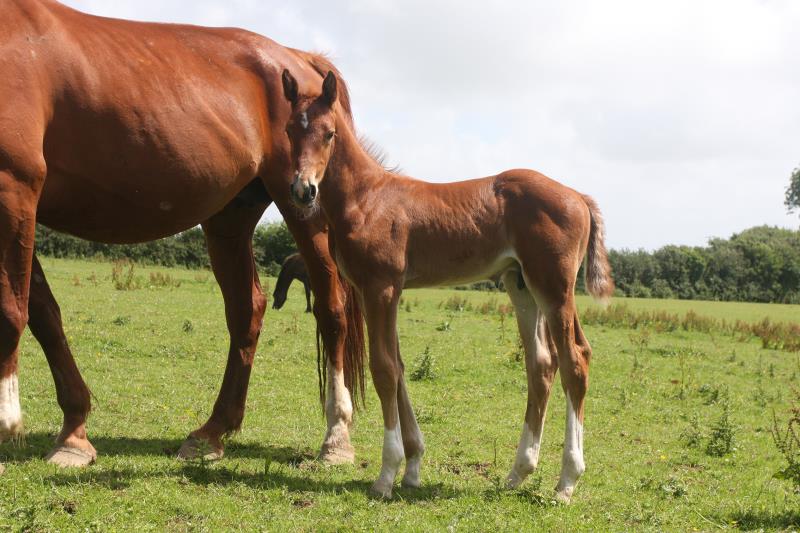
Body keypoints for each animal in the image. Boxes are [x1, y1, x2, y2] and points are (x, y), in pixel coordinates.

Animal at [0, 0, 366, 468]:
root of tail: (300, 58)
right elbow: (44, 315)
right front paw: (73, 434)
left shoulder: (14, 186)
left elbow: (13, 309)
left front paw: (8, 422)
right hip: (230, 219)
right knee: (247, 310)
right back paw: (211, 433)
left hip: (305, 209)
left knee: (331, 309)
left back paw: (335, 438)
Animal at [284, 71, 616, 502]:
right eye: (291, 130)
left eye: (329, 134)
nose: (303, 189)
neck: (367, 198)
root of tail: (578, 196)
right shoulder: (381, 291)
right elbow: (398, 366)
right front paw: (411, 469)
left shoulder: (382, 287)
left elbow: (384, 368)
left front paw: (386, 475)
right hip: (521, 284)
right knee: (542, 364)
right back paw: (518, 472)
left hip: (554, 287)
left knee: (575, 360)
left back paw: (566, 482)